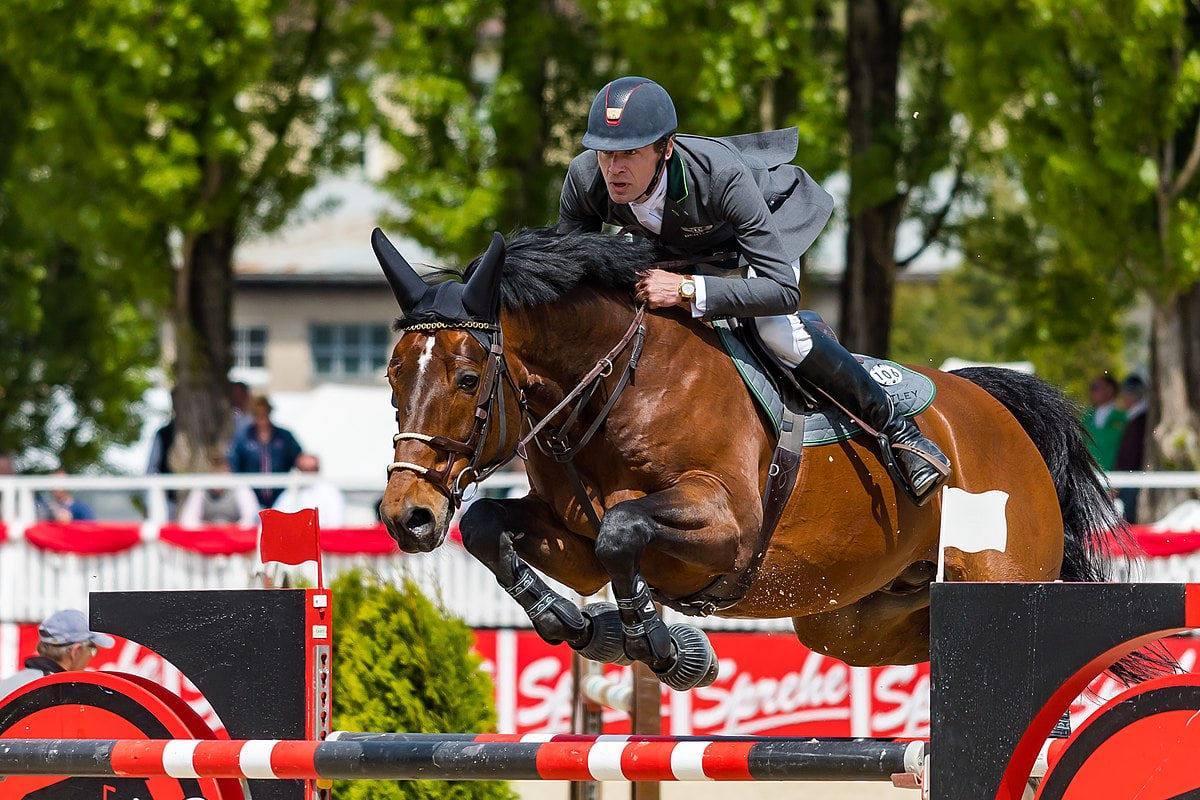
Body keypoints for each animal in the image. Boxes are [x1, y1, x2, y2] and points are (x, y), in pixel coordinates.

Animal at [379, 227, 1137, 690]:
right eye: (392, 376)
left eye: (468, 379)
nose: (405, 516)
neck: (615, 382)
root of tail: (999, 415)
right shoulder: (575, 544)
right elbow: (493, 529)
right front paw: (576, 625)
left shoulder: (727, 526)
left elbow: (624, 526)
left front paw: (663, 649)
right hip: (847, 620)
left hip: (996, 571)